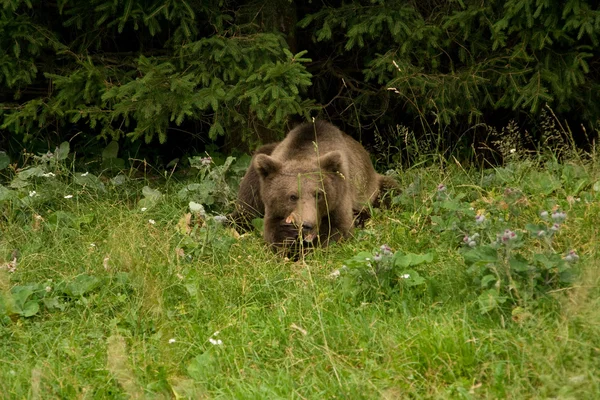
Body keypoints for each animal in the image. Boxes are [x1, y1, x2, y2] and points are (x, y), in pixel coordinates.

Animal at [232, 120, 396, 255]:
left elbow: (339, 229)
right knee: (246, 207)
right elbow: (270, 230)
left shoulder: (340, 194)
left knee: (390, 194)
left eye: (318, 194)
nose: (307, 225)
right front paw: (286, 235)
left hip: (373, 186)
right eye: (292, 196)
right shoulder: (271, 206)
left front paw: (308, 249)